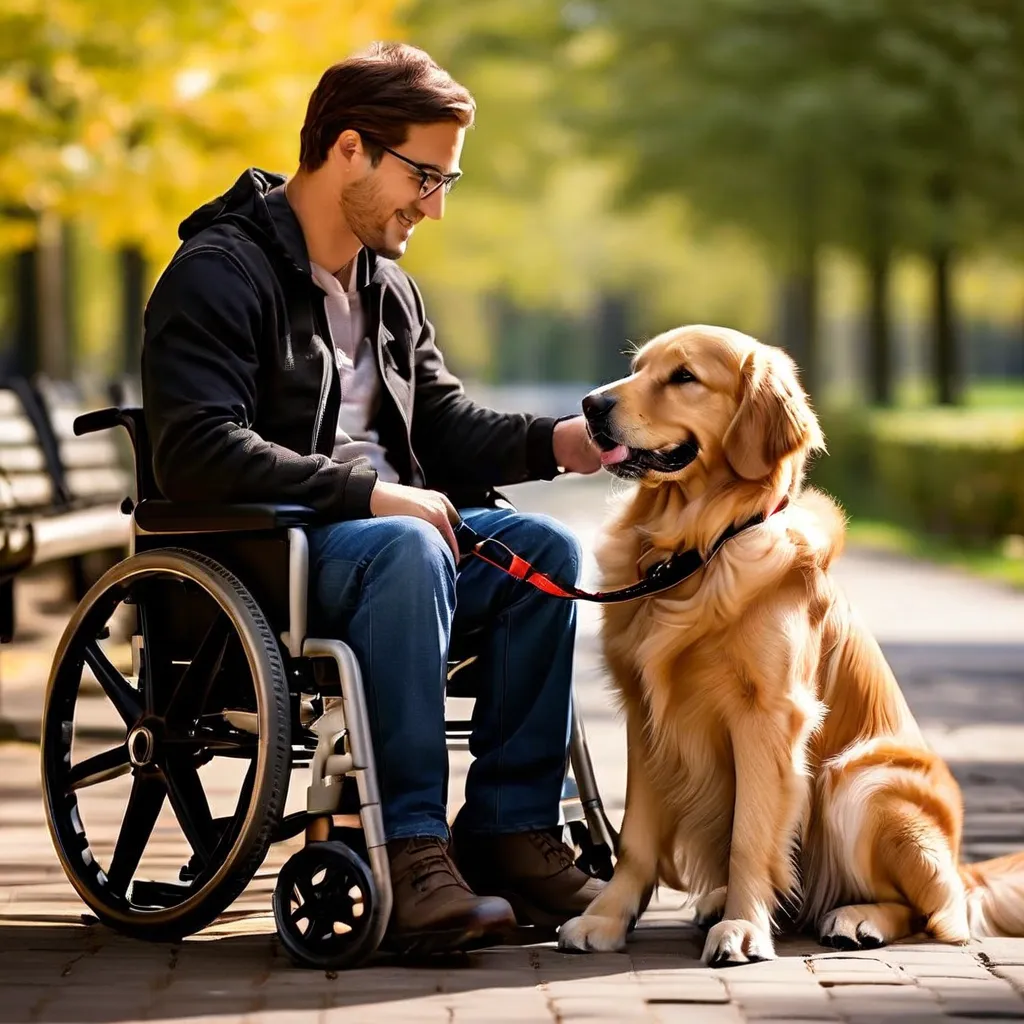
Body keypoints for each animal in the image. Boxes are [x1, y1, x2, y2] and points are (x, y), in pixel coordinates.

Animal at [561, 323, 1024, 962]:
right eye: (637, 369)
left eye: (684, 377)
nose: (589, 405)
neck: (699, 550)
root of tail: (962, 866)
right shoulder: (646, 712)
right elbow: (634, 837)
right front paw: (606, 918)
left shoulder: (770, 715)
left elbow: (751, 834)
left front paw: (743, 927)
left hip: (862, 780)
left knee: (933, 913)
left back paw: (857, 917)